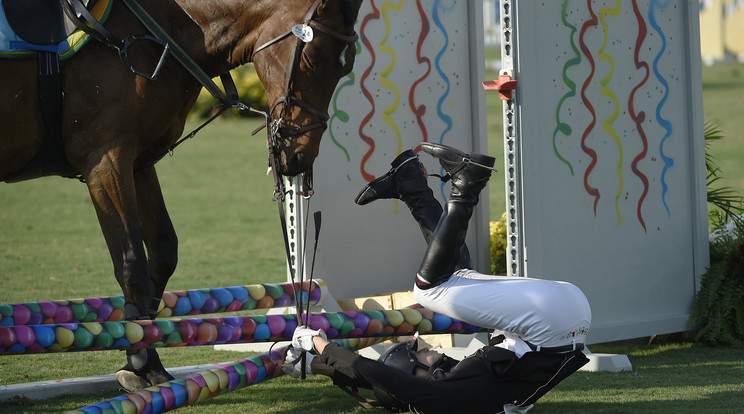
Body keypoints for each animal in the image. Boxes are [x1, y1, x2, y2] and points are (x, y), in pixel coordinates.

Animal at [0, 0, 364, 390]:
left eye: (347, 66)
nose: (299, 157)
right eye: (311, 58)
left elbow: (163, 252)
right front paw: (141, 359)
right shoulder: (104, 161)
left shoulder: (137, 162)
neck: (156, 29)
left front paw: (142, 358)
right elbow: (132, 263)